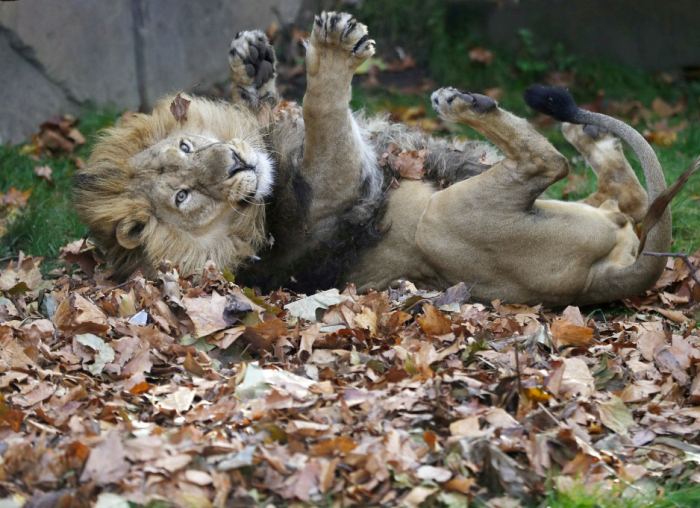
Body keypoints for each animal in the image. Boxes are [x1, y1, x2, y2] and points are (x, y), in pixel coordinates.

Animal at [74, 11, 668, 306]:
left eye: (186, 148)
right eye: (184, 196)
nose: (236, 168)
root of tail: (604, 281)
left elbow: (275, 106)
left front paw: (253, 61)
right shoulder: (336, 184)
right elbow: (321, 108)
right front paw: (333, 49)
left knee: (630, 195)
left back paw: (587, 135)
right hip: (444, 222)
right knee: (549, 164)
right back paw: (464, 104)